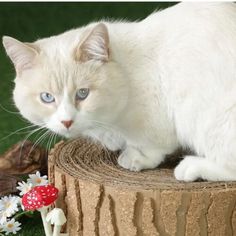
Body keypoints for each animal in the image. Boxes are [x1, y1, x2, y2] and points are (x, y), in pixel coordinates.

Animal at [2, 2, 236, 182]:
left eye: (83, 93)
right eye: (47, 97)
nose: (66, 121)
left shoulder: (155, 120)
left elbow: (150, 146)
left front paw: (134, 159)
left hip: (205, 119)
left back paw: (190, 167)